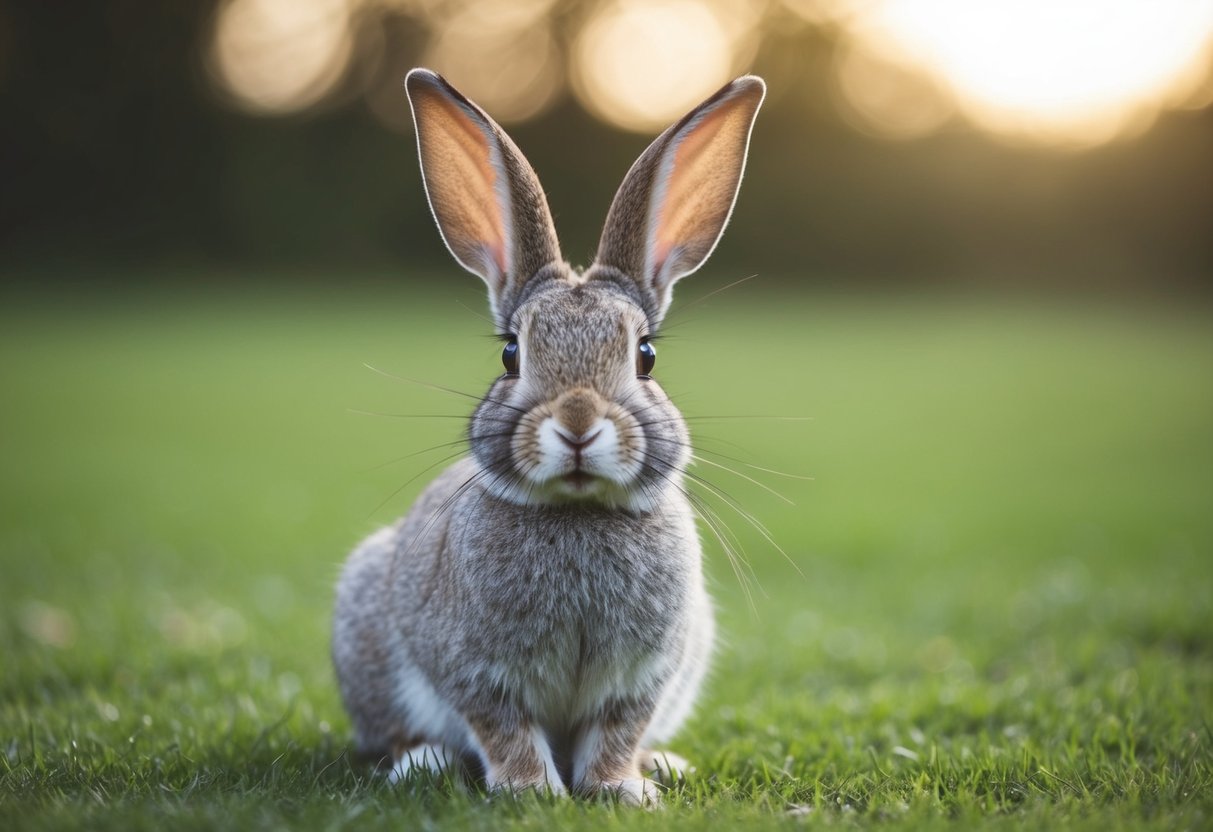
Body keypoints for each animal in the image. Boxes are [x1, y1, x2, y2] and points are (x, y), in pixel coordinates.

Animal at [332, 67, 765, 804]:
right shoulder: (478, 673)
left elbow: (617, 732)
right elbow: (505, 729)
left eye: (646, 356)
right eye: (511, 354)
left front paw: (621, 790)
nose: (578, 424)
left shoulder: (641, 680)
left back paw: (664, 764)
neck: (577, 512)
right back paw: (421, 761)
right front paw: (531, 791)